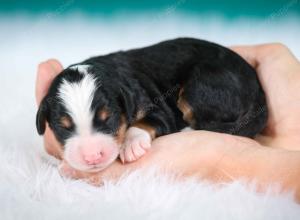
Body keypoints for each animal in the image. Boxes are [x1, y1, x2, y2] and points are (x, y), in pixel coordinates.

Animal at [36, 37, 268, 172]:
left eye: (108, 119)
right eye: (63, 128)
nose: (92, 157)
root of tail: (258, 92)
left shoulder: (155, 106)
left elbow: (145, 123)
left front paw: (132, 145)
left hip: (199, 88)